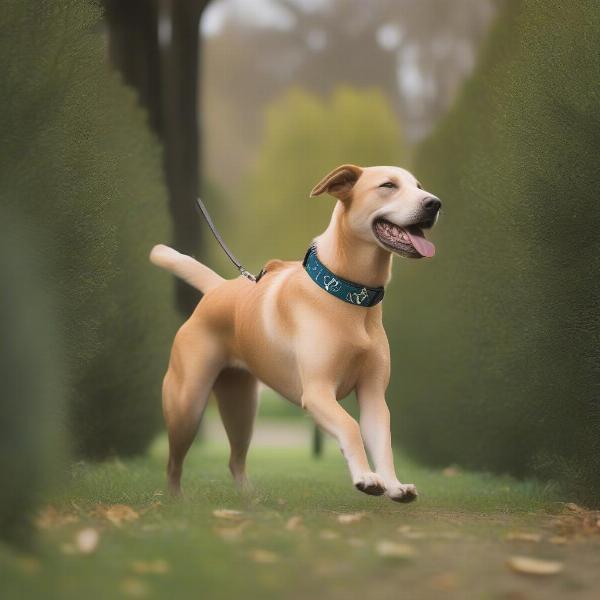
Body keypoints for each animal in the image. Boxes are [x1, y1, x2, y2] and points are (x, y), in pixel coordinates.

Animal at [150, 164, 440, 502]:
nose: (434, 203)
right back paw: (176, 501)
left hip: (242, 407)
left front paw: (394, 484)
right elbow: (349, 425)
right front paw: (366, 477)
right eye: (388, 186)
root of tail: (217, 288)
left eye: (418, 186)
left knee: (235, 459)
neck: (349, 294)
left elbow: (382, 440)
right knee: (174, 462)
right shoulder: (317, 392)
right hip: (187, 404)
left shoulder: (374, 396)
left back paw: (250, 499)